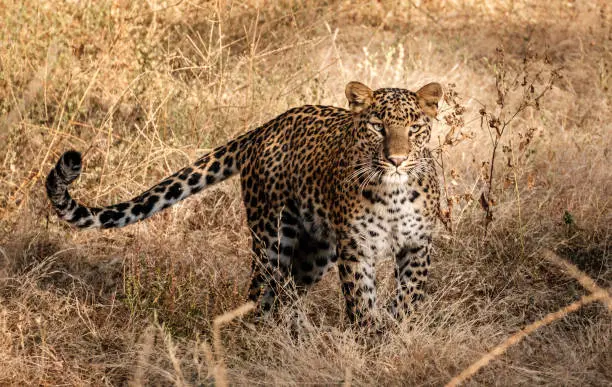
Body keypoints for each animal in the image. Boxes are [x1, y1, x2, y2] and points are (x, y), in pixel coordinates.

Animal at [46, 82, 440, 328]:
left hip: (317, 251)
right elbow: (362, 302)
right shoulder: (357, 250)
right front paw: (372, 339)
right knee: (263, 293)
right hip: (273, 236)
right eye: (377, 127)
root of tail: (266, 126)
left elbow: (407, 300)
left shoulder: (417, 246)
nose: (397, 160)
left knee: (286, 292)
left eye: (415, 128)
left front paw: (395, 334)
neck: (393, 194)